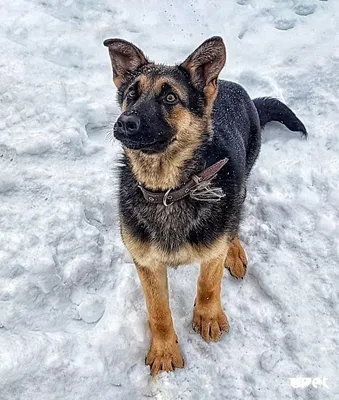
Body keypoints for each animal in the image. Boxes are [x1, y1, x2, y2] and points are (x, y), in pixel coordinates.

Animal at [103, 36, 308, 376]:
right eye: (131, 94)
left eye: (170, 97)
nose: (125, 122)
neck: (170, 190)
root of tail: (229, 84)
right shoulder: (146, 262)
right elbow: (158, 310)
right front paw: (164, 350)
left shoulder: (211, 248)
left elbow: (209, 282)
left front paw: (208, 316)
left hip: (241, 181)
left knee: (233, 222)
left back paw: (234, 251)